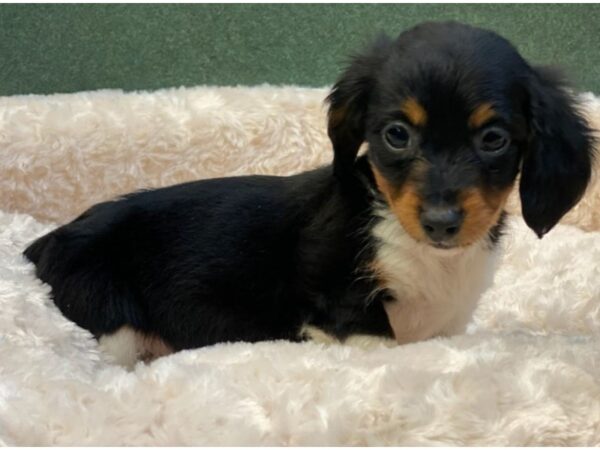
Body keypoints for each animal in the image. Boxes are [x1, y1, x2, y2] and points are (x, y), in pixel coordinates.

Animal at [24, 22, 596, 364]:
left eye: (493, 139)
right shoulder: (334, 305)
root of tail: (44, 242)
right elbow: (378, 341)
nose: (440, 222)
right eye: (396, 134)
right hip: (108, 318)